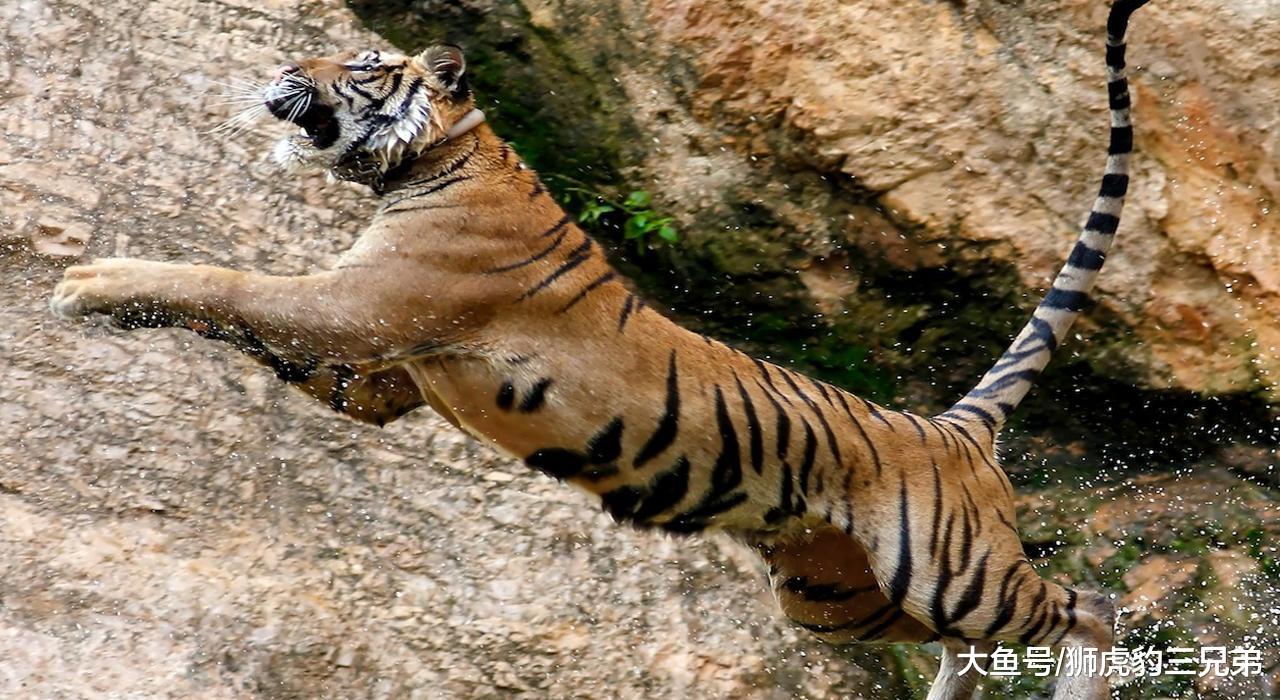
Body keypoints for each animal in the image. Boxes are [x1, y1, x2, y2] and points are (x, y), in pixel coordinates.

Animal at [49, 1, 1149, 697]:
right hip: (837, 595)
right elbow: (241, 321)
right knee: (969, 648)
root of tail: (951, 424)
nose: (283, 73)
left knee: (1088, 605)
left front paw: (86, 281)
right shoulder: (378, 373)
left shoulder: (358, 309)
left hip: (947, 566)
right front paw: (115, 308)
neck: (437, 159)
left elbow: (228, 282)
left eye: (357, 67)